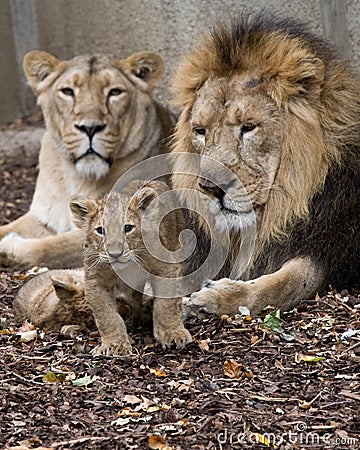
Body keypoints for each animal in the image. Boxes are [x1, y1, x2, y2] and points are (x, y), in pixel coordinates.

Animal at [0, 50, 174, 268]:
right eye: (67, 91)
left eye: (115, 92)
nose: (90, 128)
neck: (77, 177)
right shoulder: (43, 217)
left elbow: (54, 247)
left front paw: (10, 247)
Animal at [172, 15, 360, 314]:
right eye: (200, 131)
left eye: (248, 127)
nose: (210, 188)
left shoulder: (333, 247)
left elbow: (288, 281)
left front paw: (219, 296)